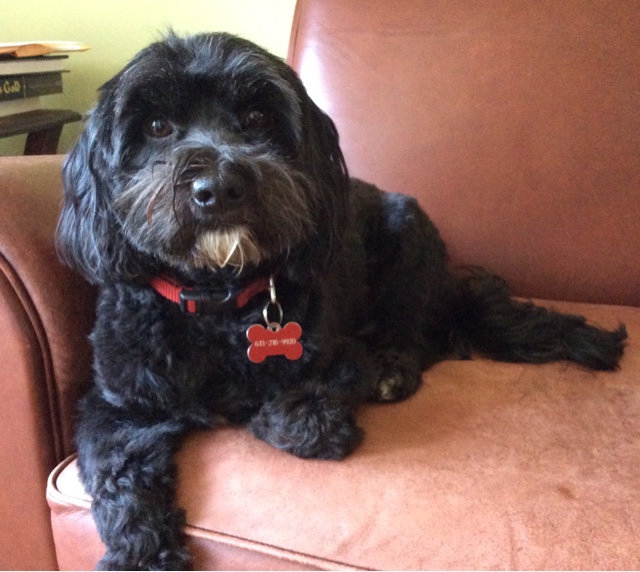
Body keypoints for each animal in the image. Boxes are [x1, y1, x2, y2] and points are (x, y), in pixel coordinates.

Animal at [57, 31, 627, 570]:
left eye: (258, 117)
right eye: (156, 126)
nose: (218, 185)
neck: (217, 296)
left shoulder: (337, 355)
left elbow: (299, 419)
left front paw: (270, 410)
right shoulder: (113, 406)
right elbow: (117, 476)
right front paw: (141, 554)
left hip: (408, 238)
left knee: (420, 335)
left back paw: (392, 370)